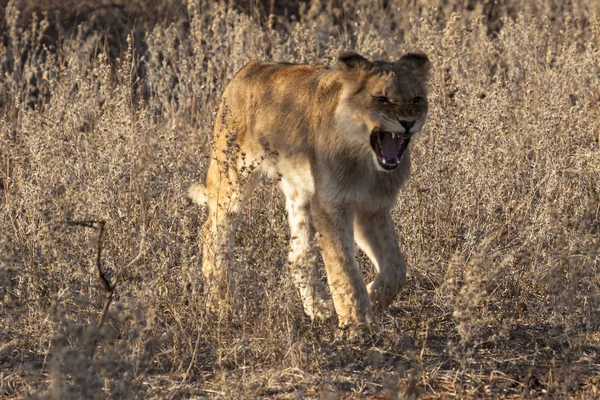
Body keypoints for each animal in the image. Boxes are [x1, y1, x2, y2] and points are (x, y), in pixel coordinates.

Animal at [190, 50, 428, 338]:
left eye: (417, 99)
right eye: (381, 98)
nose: (408, 123)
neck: (368, 163)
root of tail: (249, 67)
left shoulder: (373, 209)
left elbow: (396, 268)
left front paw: (371, 298)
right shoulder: (330, 205)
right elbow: (344, 268)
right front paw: (358, 326)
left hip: (299, 191)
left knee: (298, 254)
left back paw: (319, 308)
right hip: (233, 176)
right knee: (213, 232)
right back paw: (221, 304)